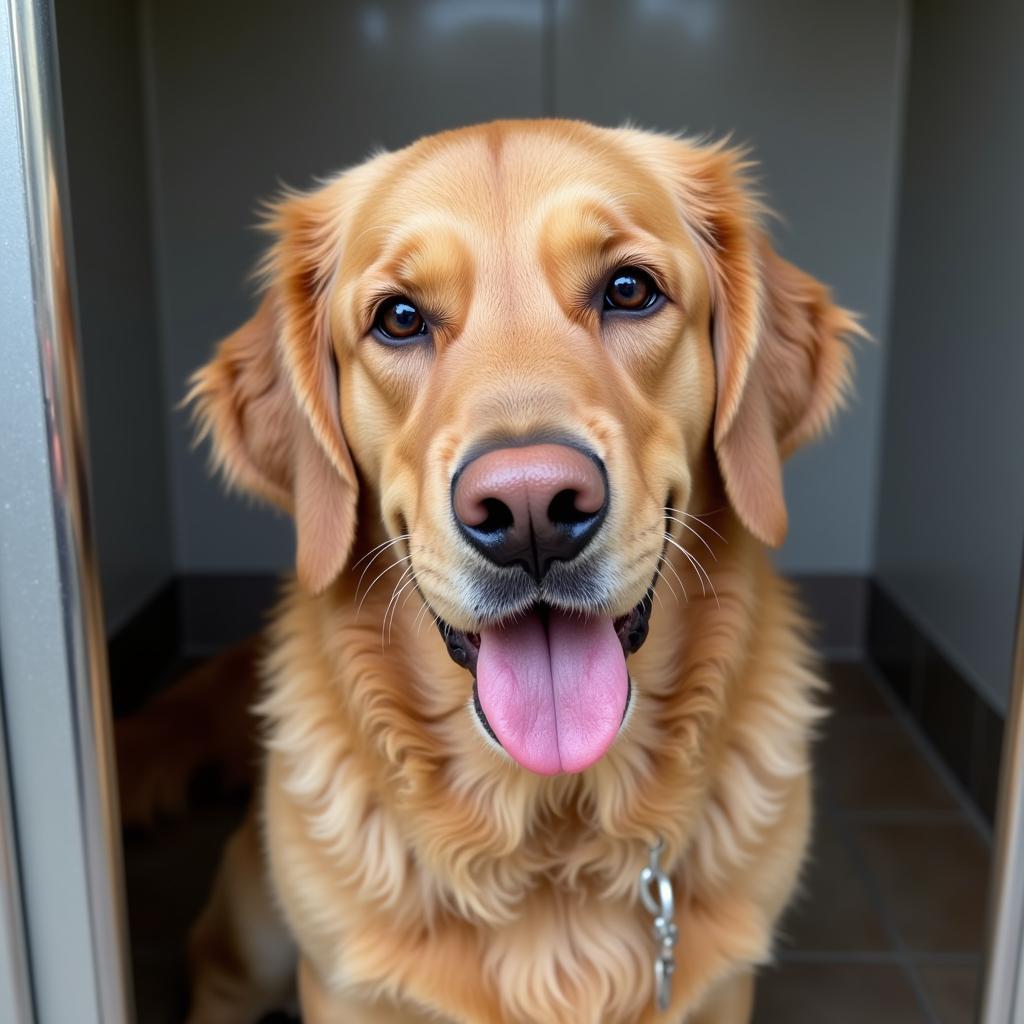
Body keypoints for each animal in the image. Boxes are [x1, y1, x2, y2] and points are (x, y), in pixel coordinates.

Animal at [151, 121, 860, 1024]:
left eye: (629, 289)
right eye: (399, 318)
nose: (530, 510)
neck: (552, 823)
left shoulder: (720, 989)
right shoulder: (340, 985)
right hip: (256, 937)